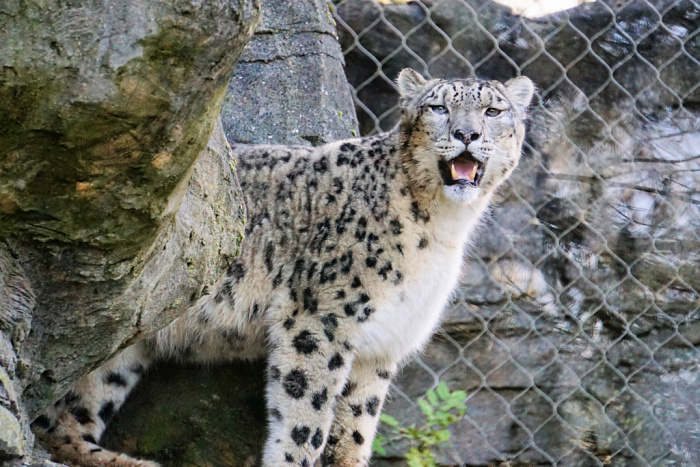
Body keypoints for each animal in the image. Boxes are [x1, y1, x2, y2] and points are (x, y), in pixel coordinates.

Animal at [31, 69, 536, 467]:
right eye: (437, 107)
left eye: (493, 111)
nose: (468, 134)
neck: (444, 226)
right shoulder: (321, 318)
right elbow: (305, 415)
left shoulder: (380, 346)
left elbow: (356, 426)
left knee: (63, 419)